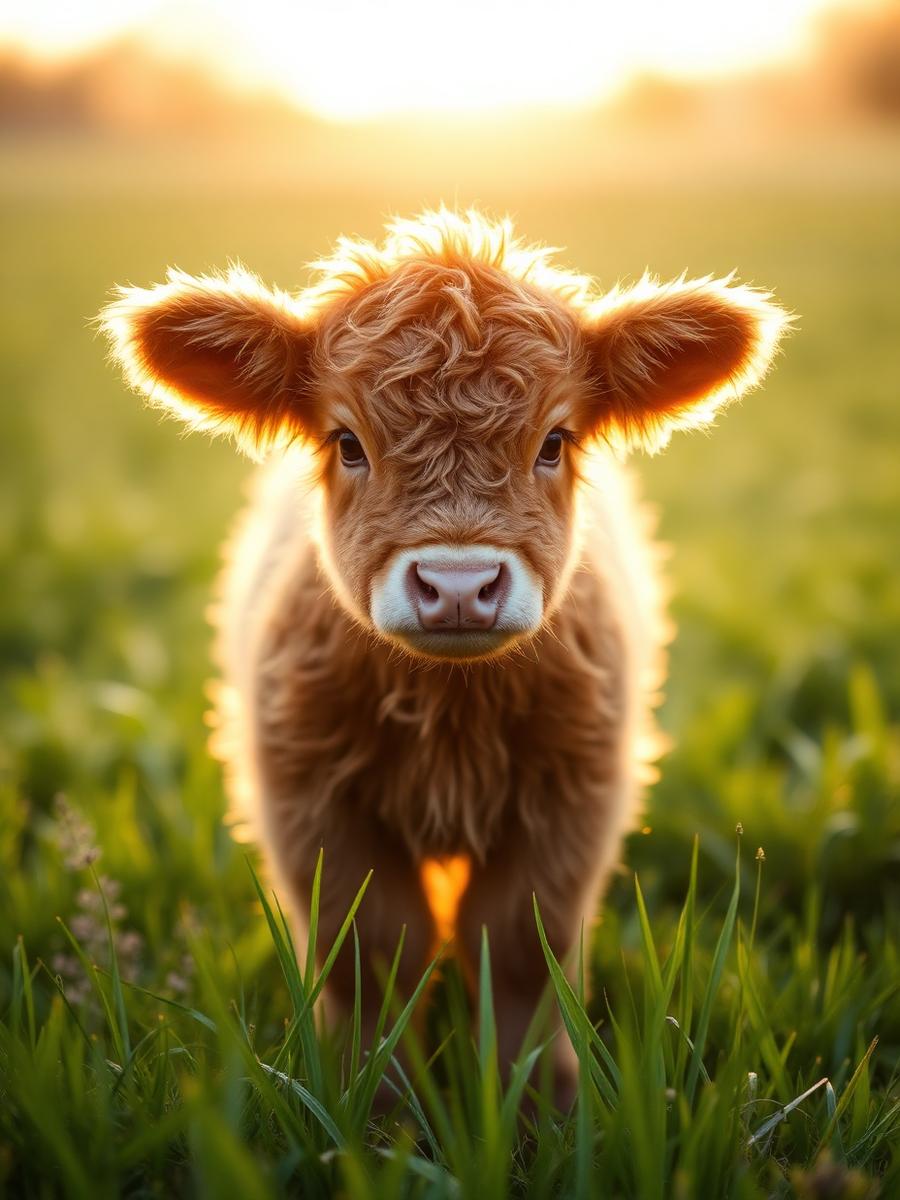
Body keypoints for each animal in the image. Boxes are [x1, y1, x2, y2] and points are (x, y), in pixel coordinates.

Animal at [101, 209, 788, 1100]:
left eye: (554, 441)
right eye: (347, 442)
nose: (458, 585)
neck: (451, 715)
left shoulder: (577, 795)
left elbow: (521, 945)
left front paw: (535, 1104)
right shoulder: (306, 797)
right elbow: (373, 950)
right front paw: (373, 1102)